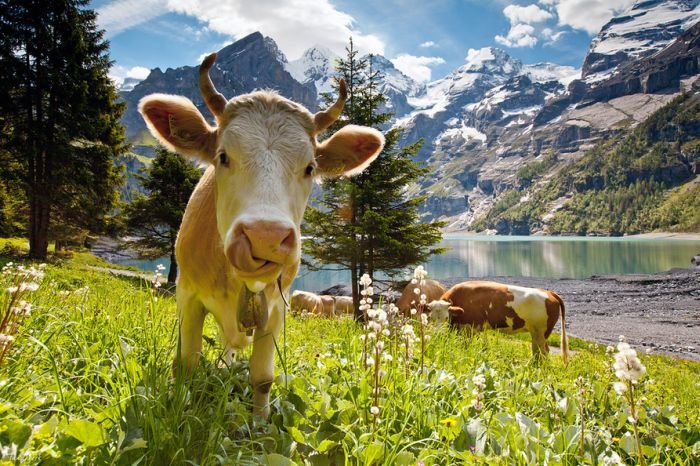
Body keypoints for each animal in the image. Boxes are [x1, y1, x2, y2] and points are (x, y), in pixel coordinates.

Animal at [138, 53, 384, 417]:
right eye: (222, 156)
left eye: (310, 167)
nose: (264, 237)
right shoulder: (187, 295)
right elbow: (186, 363)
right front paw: (177, 411)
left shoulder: (277, 308)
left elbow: (262, 377)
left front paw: (259, 423)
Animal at [427, 281, 569, 363]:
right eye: (430, 318)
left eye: (446, 317)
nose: (438, 334)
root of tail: (549, 293)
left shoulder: (470, 328)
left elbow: (466, 346)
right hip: (539, 334)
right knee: (542, 353)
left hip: (540, 333)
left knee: (542, 353)